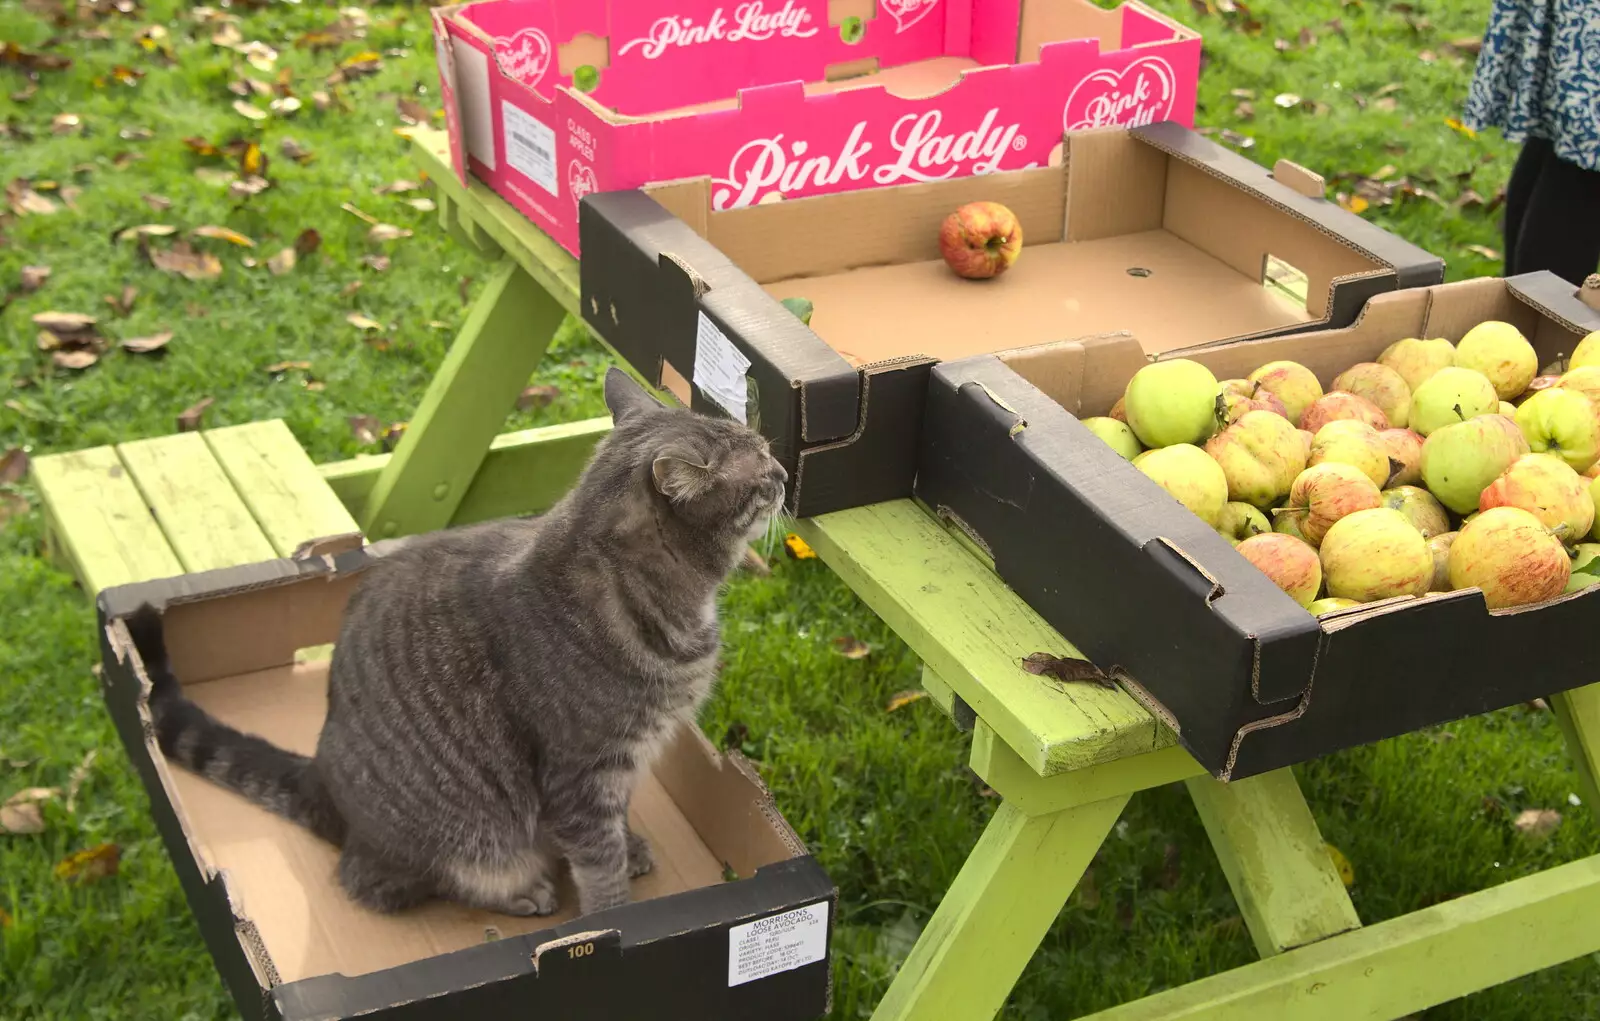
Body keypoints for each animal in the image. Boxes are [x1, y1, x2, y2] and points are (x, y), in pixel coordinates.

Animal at [124, 369, 787, 921]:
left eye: (769, 452)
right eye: (760, 467)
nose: (784, 472)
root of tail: (322, 782)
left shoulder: (622, 767)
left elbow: (614, 828)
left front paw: (629, 848)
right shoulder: (581, 773)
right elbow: (598, 866)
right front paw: (615, 915)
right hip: (459, 838)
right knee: (384, 884)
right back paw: (520, 892)